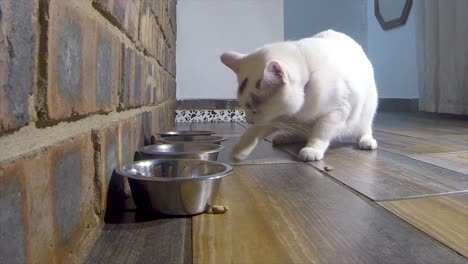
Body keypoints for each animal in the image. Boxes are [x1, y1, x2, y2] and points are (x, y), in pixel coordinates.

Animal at [221, 28, 378, 161]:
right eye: (244, 108)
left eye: (255, 110)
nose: (248, 121)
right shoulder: (274, 117)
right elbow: (254, 131)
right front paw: (241, 148)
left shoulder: (337, 111)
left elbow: (321, 132)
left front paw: (312, 149)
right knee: (301, 132)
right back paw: (286, 136)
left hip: (367, 111)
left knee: (364, 128)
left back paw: (366, 141)